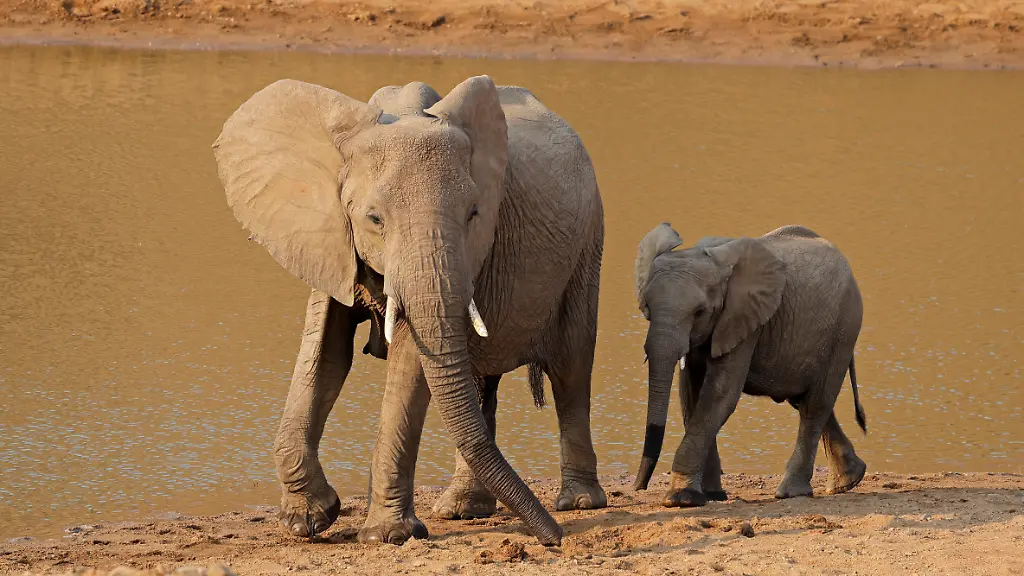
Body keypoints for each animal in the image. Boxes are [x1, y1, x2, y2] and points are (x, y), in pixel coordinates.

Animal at [212, 75, 606, 546]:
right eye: (374, 219)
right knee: (478, 381)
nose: (555, 540)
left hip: (588, 243)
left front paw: (385, 536)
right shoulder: (329, 239)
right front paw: (309, 518)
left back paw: (579, 503)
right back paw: (463, 510)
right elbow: (325, 357)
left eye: (474, 214)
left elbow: (409, 362)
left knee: (570, 368)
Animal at [631, 223, 867, 507]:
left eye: (699, 312)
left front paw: (681, 498)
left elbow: (719, 394)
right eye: (647, 307)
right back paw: (847, 481)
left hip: (844, 328)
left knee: (816, 404)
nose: (637, 487)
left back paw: (791, 492)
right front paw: (711, 495)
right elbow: (691, 396)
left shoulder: (744, 320)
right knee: (804, 399)